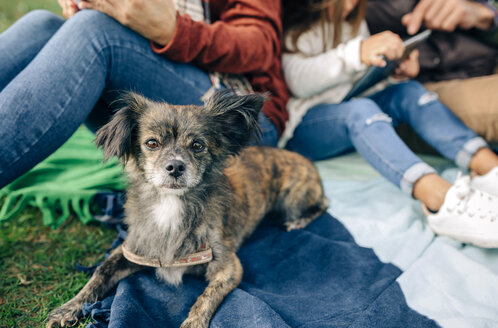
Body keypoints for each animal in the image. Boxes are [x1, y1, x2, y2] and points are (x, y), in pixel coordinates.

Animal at [45, 90, 326, 328]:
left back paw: (297, 222)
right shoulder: (132, 249)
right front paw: (68, 307)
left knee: (322, 205)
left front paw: (193, 322)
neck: (170, 203)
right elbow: (100, 272)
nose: (175, 167)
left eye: (198, 145)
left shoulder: (229, 267)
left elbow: (205, 298)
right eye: (152, 143)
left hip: (293, 199)